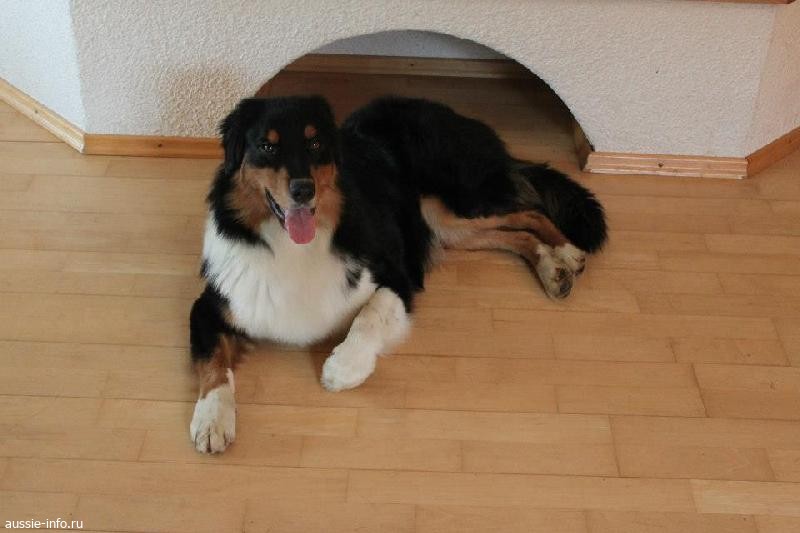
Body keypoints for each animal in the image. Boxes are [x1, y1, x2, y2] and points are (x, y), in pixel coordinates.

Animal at [189, 95, 607, 453]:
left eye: (315, 144)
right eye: (267, 146)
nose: (303, 191)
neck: (295, 248)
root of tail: (453, 114)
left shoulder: (397, 275)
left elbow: (368, 316)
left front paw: (344, 368)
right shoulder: (211, 305)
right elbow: (213, 364)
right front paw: (212, 420)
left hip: (452, 203)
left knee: (529, 213)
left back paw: (566, 253)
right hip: (444, 223)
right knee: (515, 233)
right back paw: (553, 269)